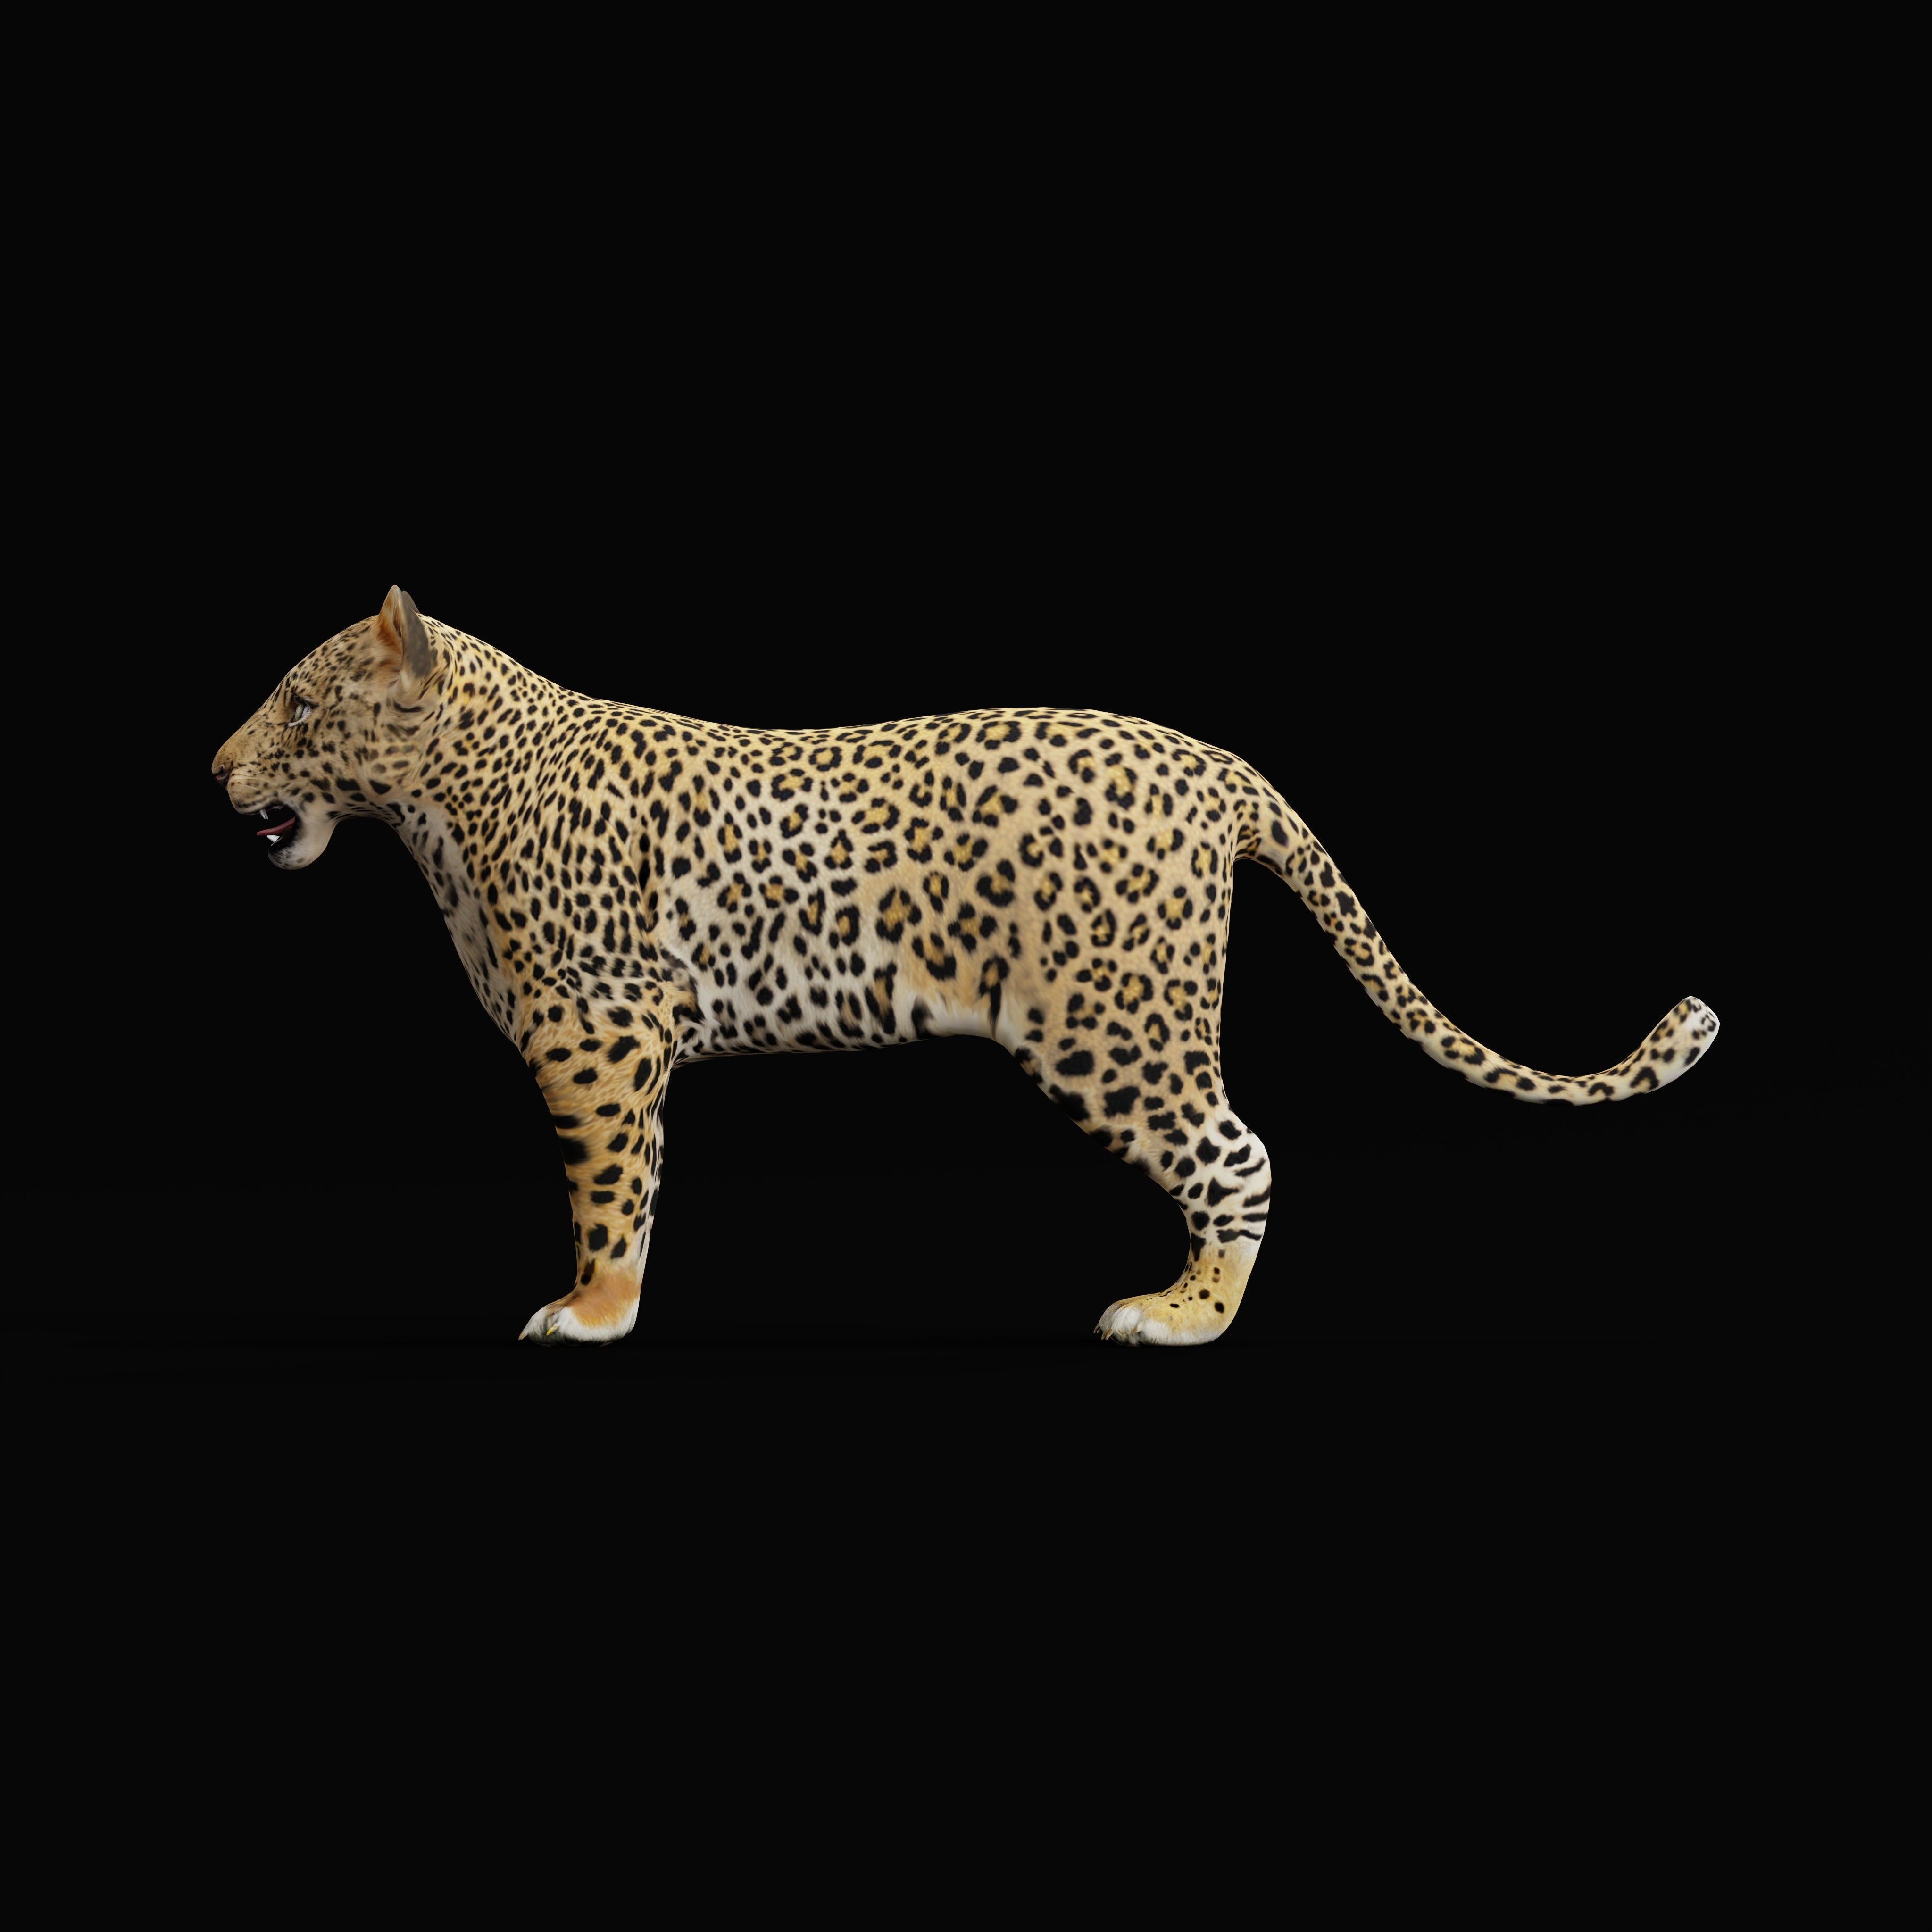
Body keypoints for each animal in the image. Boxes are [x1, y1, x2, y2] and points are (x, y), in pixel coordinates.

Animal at [211, 587, 1721, 1346]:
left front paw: (592, 1311)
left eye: (297, 701)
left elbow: (611, 1189)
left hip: (1112, 1030)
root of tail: (1217, 762)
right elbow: (627, 1183)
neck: (441, 806)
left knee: (1238, 1154)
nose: (216, 770)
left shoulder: (602, 1033)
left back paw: (1178, 1315)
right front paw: (603, 1307)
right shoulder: (616, 1037)